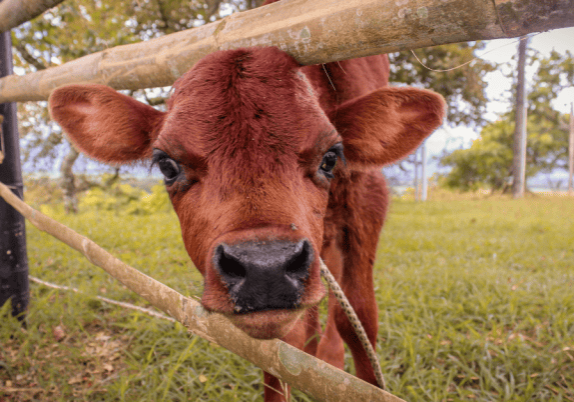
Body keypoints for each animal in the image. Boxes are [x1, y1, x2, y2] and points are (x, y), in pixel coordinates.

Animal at [48, 29, 446, 402]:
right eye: (166, 165)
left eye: (331, 157)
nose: (264, 268)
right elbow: (281, 350)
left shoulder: (369, 200)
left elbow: (360, 320)